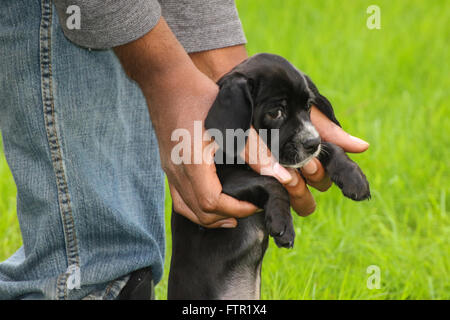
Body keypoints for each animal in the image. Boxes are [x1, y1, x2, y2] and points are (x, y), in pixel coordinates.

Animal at [168, 53, 370, 300]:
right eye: (275, 113)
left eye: (308, 107)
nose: (312, 143)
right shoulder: (221, 183)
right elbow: (271, 181)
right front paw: (283, 223)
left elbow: (330, 147)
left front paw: (354, 177)